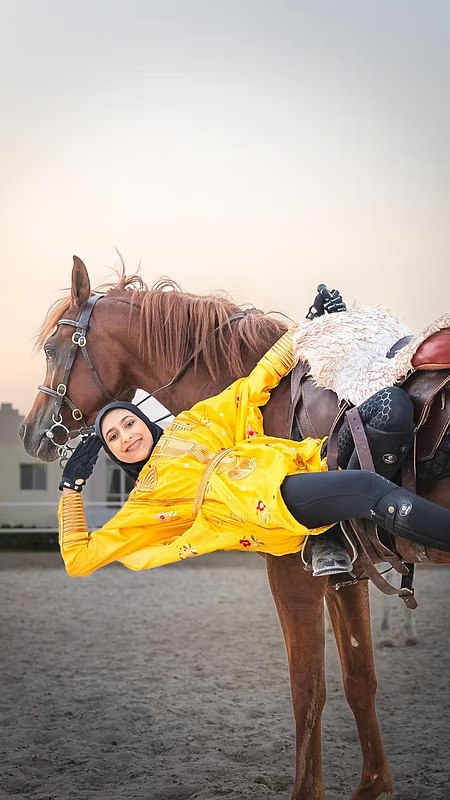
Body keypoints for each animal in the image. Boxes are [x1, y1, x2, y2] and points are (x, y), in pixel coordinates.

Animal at [20, 256, 450, 800]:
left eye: (52, 349)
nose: (30, 432)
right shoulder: (347, 576)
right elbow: (358, 680)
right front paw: (372, 783)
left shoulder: (293, 575)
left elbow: (307, 689)